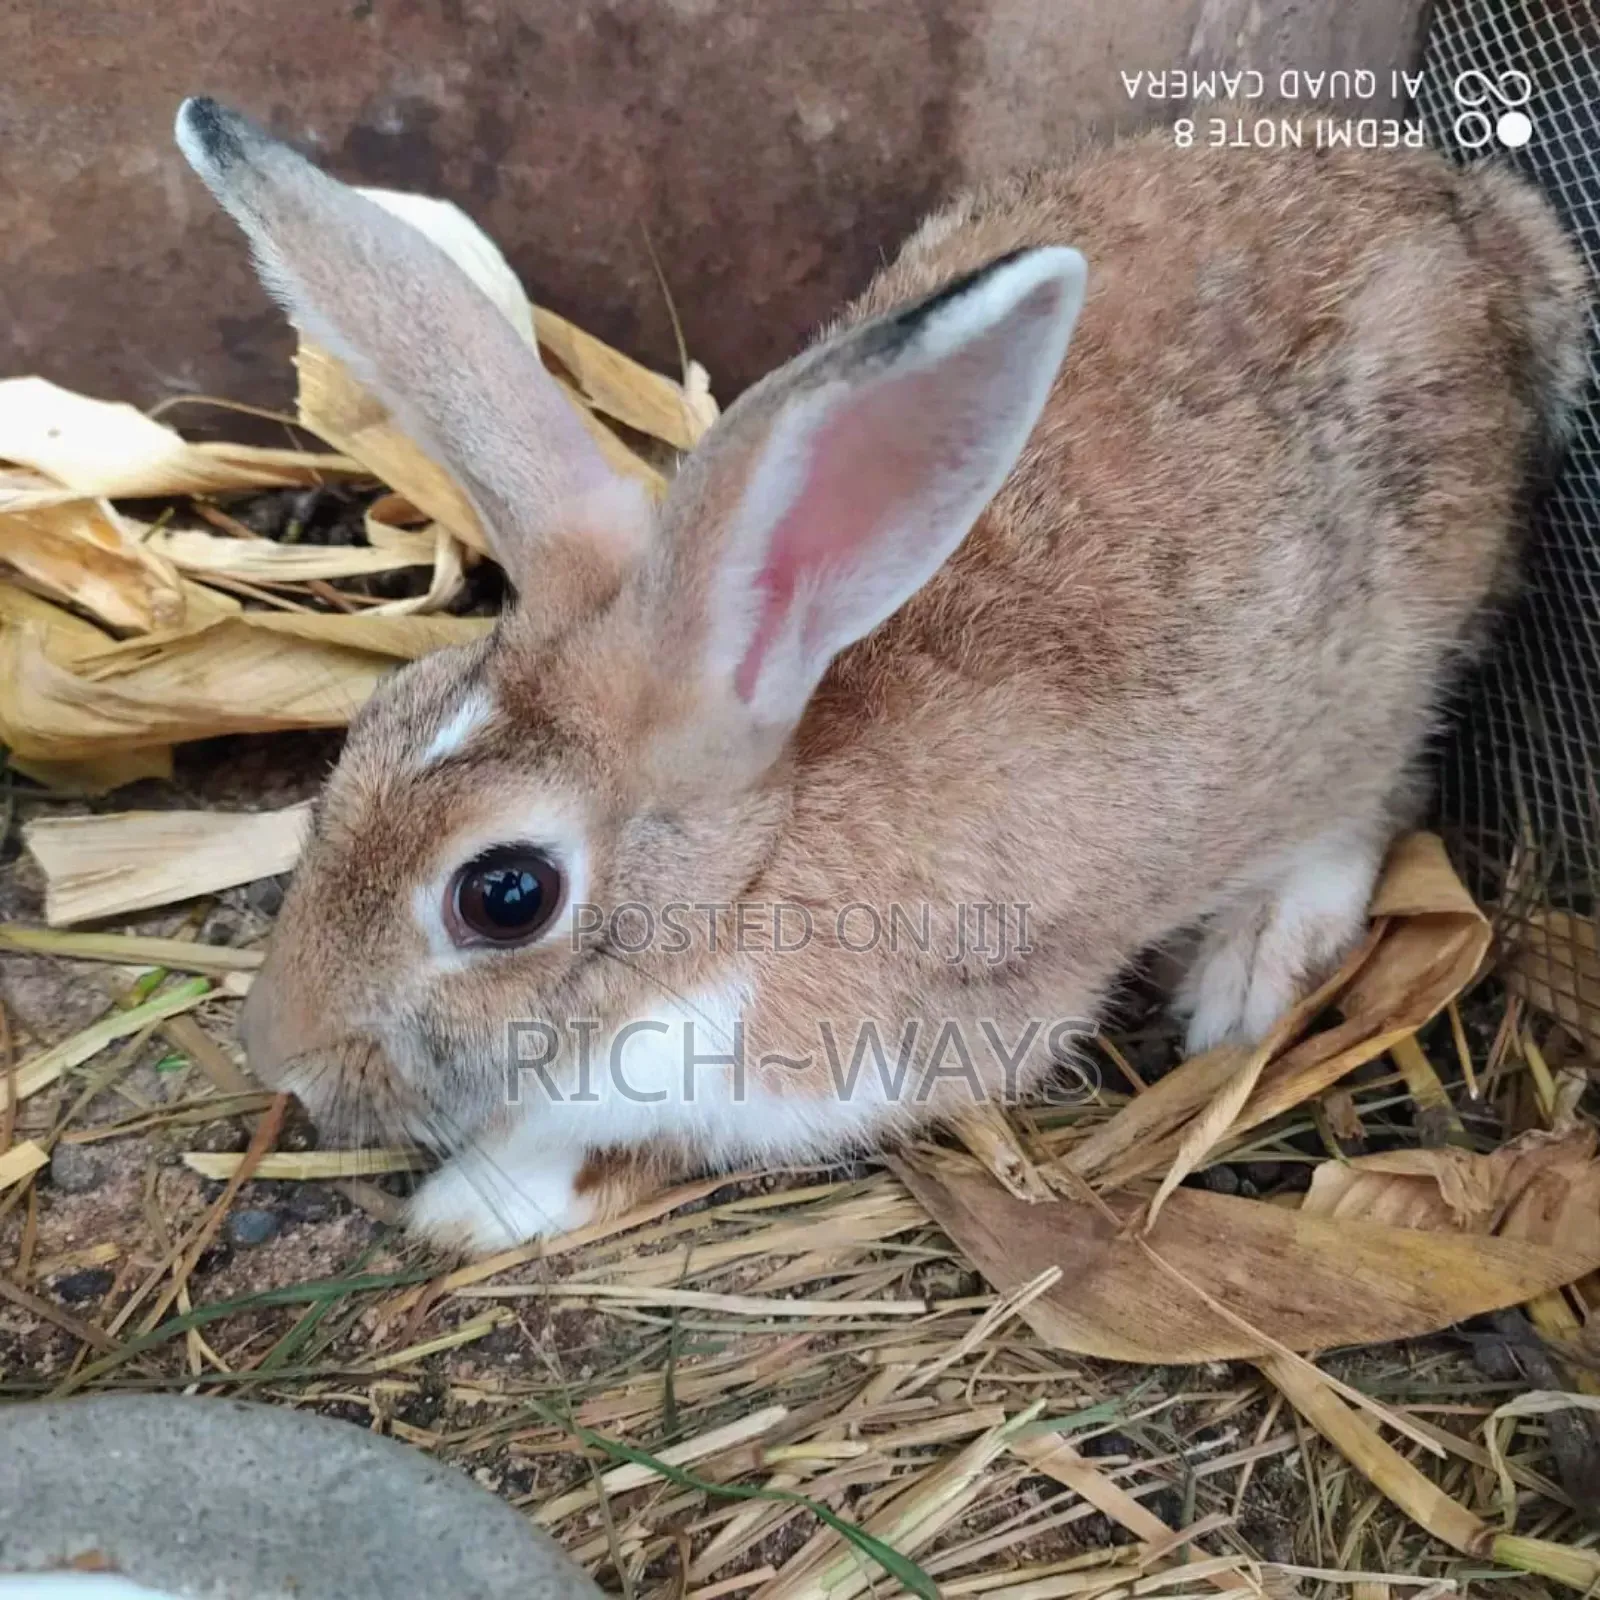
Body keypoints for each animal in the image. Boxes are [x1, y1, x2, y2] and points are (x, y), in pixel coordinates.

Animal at [176, 96, 1590, 1254]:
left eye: (505, 894)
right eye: (368, 731)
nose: (278, 1054)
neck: (742, 889)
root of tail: (1486, 224)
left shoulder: (887, 1056)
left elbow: (629, 1140)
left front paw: (475, 1204)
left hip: (1395, 652)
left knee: (1369, 793)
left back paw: (1249, 972)